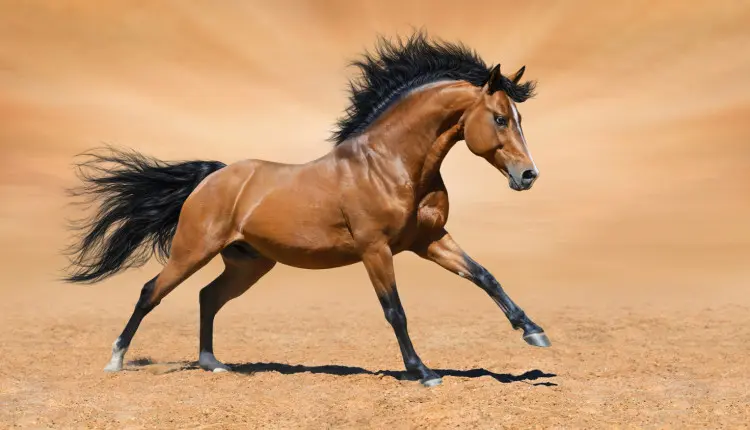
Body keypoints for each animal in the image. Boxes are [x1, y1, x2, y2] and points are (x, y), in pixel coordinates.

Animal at [64, 32, 549, 387]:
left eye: (519, 118)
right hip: (192, 251)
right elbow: (395, 310)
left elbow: (484, 276)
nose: (528, 175)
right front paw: (423, 372)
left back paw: (213, 363)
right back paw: (116, 360)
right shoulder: (376, 250)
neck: (391, 164)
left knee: (207, 297)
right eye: (500, 119)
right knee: (151, 292)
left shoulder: (429, 240)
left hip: (249, 264)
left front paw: (533, 332)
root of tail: (212, 177)